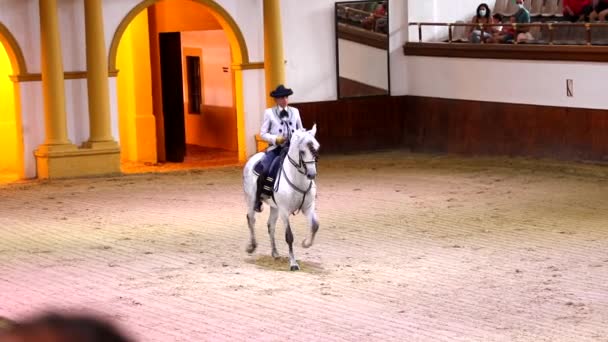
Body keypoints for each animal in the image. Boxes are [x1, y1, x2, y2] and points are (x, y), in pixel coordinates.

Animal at [242, 124, 320, 272]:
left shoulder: (308, 207)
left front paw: (306, 243)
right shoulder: (284, 211)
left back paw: (275, 253)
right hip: (251, 199)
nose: (312, 175)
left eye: (316, 149)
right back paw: (251, 246)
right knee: (251, 219)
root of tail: (253, 158)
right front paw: (293, 263)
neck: (297, 179)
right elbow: (289, 236)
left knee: (270, 225)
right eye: (302, 152)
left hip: (274, 207)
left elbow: (314, 226)